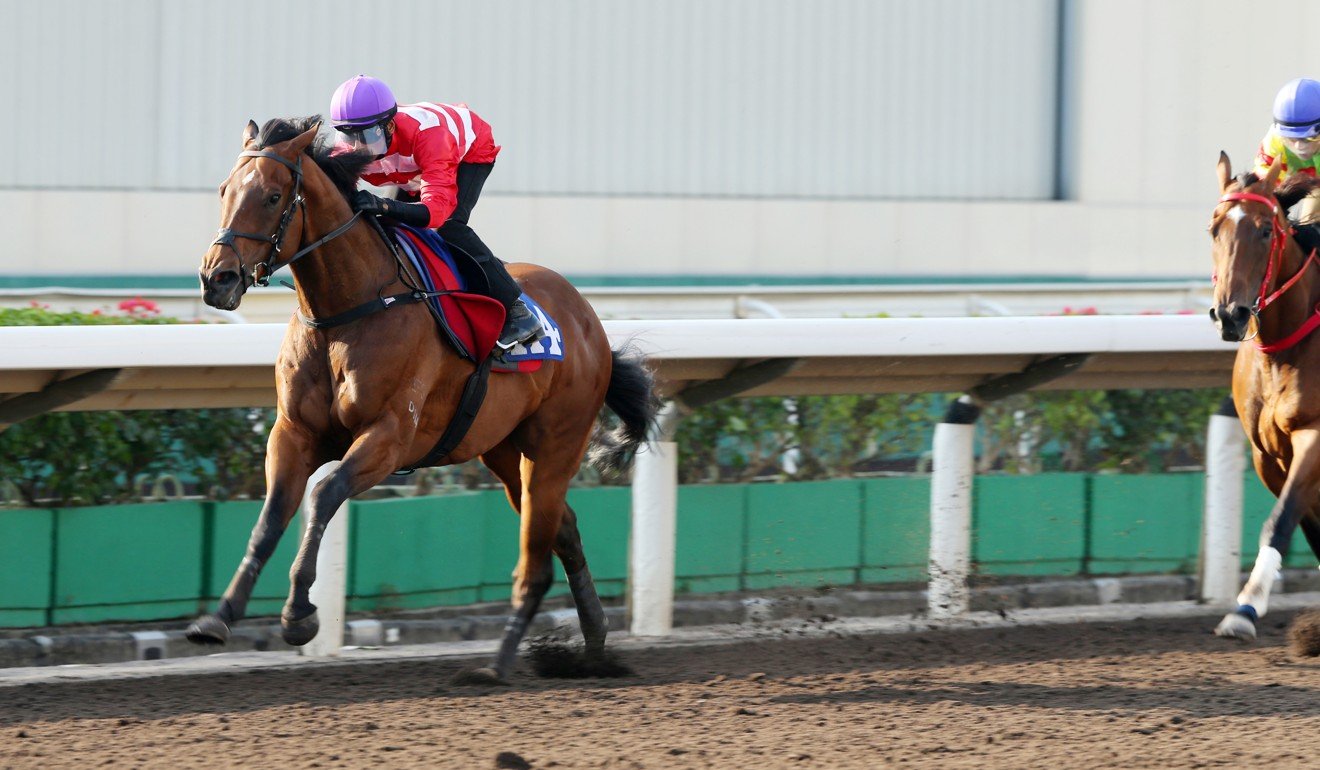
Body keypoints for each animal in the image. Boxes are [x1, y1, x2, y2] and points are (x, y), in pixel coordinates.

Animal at [188, 117, 657, 681]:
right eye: (224, 191)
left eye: (273, 196)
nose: (216, 278)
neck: (347, 309)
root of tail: (591, 323)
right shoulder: (293, 432)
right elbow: (270, 517)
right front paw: (217, 618)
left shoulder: (390, 436)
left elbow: (323, 497)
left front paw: (299, 614)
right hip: (504, 449)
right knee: (562, 530)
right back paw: (593, 645)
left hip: (556, 446)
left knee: (536, 561)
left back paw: (495, 667)